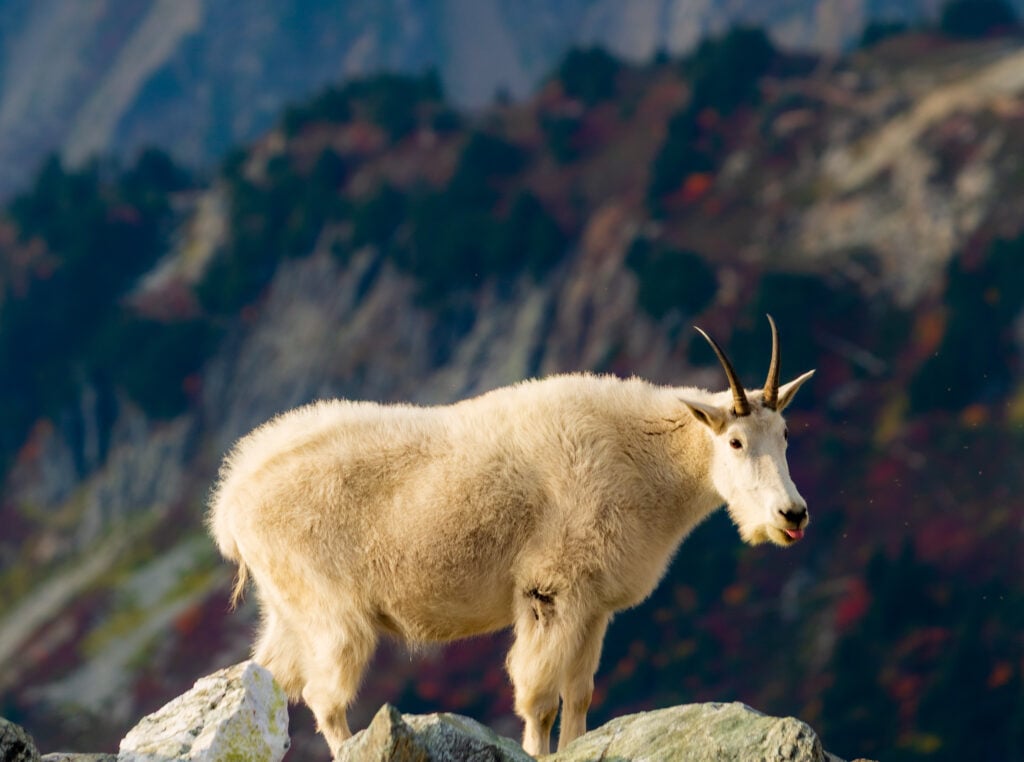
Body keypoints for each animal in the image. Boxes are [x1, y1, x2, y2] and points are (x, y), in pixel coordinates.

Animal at [208, 316, 814, 758]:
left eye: (786, 434)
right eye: (735, 441)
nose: (793, 515)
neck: (649, 460)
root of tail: (230, 504)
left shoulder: (593, 606)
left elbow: (579, 696)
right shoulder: (551, 591)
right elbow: (539, 698)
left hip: (288, 610)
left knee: (264, 682)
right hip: (331, 611)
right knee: (324, 698)